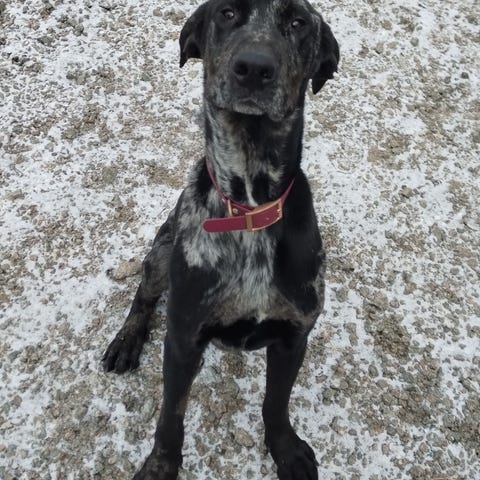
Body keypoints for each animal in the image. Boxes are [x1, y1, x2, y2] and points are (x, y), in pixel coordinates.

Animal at [102, 1, 339, 479]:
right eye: (227, 13)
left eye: (298, 22)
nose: (254, 67)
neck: (247, 209)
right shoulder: (183, 340)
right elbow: (170, 415)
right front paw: (160, 464)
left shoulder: (294, 337)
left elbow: (276, 403)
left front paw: (285, 451)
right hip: (163, 247)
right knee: (144, 293)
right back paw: (127, 339)